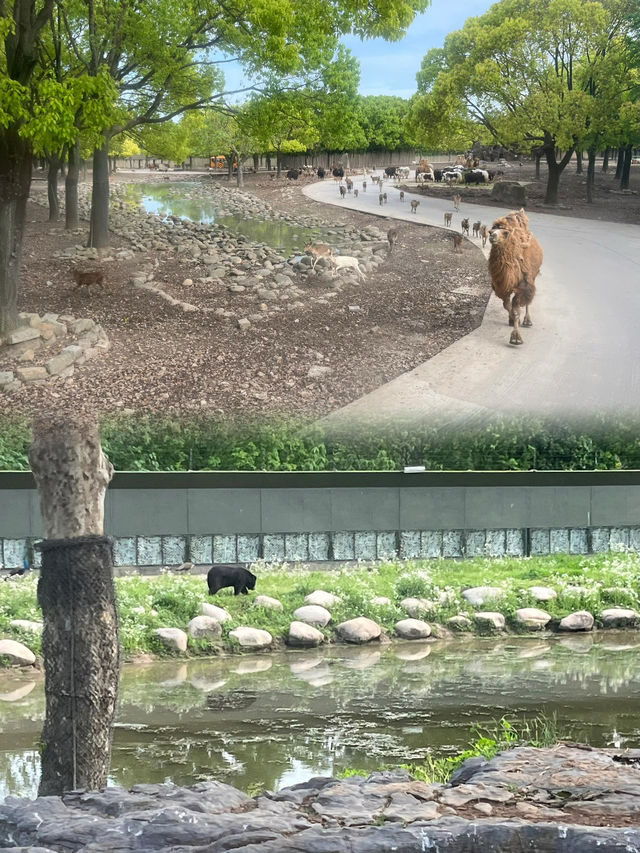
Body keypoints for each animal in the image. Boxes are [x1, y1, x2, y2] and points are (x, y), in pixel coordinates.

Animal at [488, 208, 544, 344]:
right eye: (490, 231)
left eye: (505, 232)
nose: (492, 236)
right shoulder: (502, 285)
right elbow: (507, 305)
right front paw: (511, 319)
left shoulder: (523, 284)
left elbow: (516, 308)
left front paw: (516, 337)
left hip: (533, 276)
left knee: (529, 298)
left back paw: (528, 321)